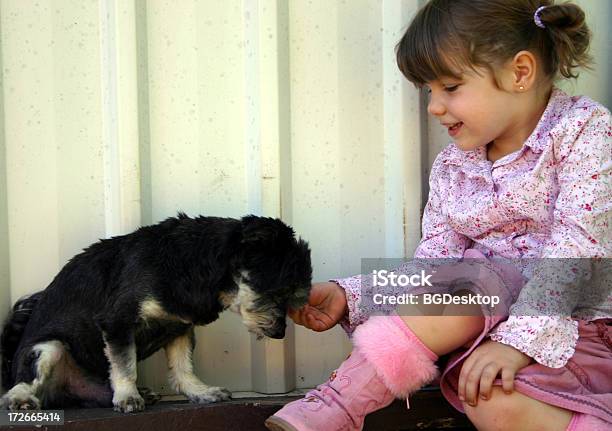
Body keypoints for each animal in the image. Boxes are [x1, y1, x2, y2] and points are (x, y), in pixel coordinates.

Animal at [0, 214, 310, 414]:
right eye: (280, 291)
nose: (280, 333)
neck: (190, 264)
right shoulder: (118, 322)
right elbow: (125, 365)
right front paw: (128, 396)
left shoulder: (180, 328)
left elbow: (183, 368)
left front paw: (200, 392)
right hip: (48, 348)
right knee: (21, 384)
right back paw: (21, 398)